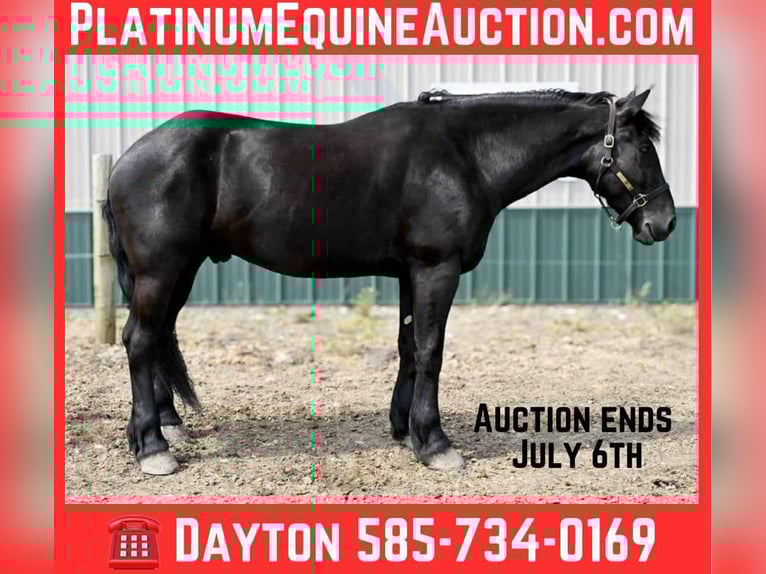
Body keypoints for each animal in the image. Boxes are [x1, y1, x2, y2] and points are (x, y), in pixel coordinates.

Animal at [103, 88, 676, 475]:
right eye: (643, 149)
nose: (664, 223)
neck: (466, 154)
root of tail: (129, 158)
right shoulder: (436, 269)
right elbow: (430, 351)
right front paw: (436, 443)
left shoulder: (410, 272)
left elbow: (408, 348)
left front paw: (406, 430)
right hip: (162, 270)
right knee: (140, 341)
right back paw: (153, 448)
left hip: (180, 270)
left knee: (155, 340)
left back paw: (162, 424)